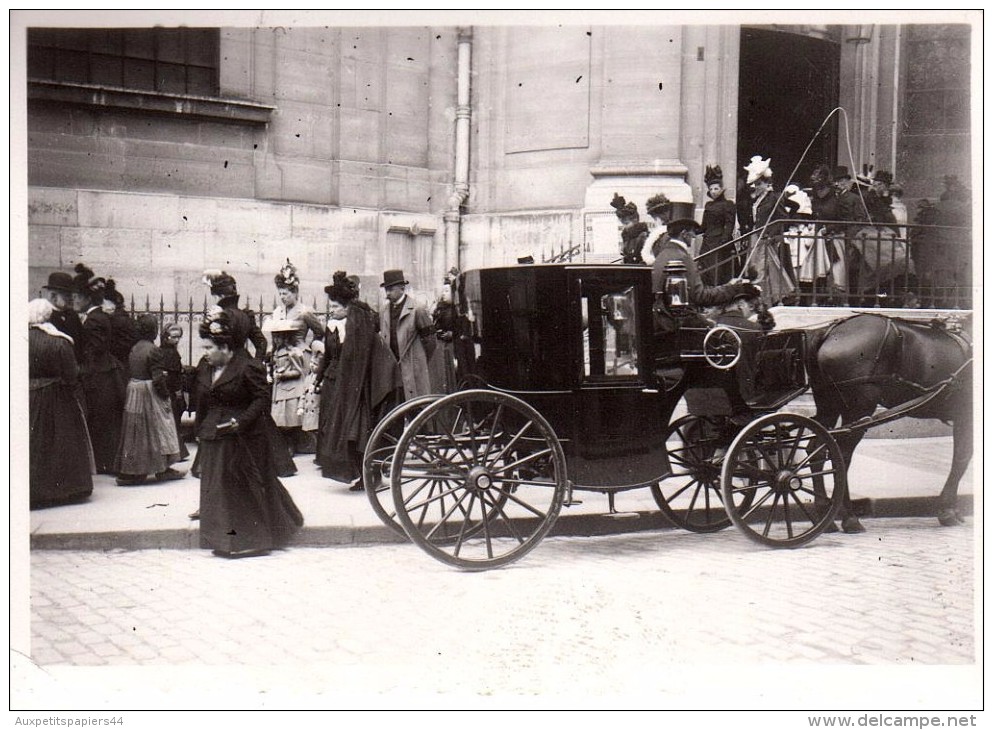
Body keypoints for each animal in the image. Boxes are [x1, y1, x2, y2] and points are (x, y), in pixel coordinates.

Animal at [804, 312, 972, 528]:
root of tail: (830, 332)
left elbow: (962, 457)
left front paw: (954, 510)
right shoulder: (965, 416)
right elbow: (961, 458)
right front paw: (947, 511)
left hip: (829, 407)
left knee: (817, 449)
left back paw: (824, 515)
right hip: (859, 409)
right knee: (842, 454)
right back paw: (849, 517)